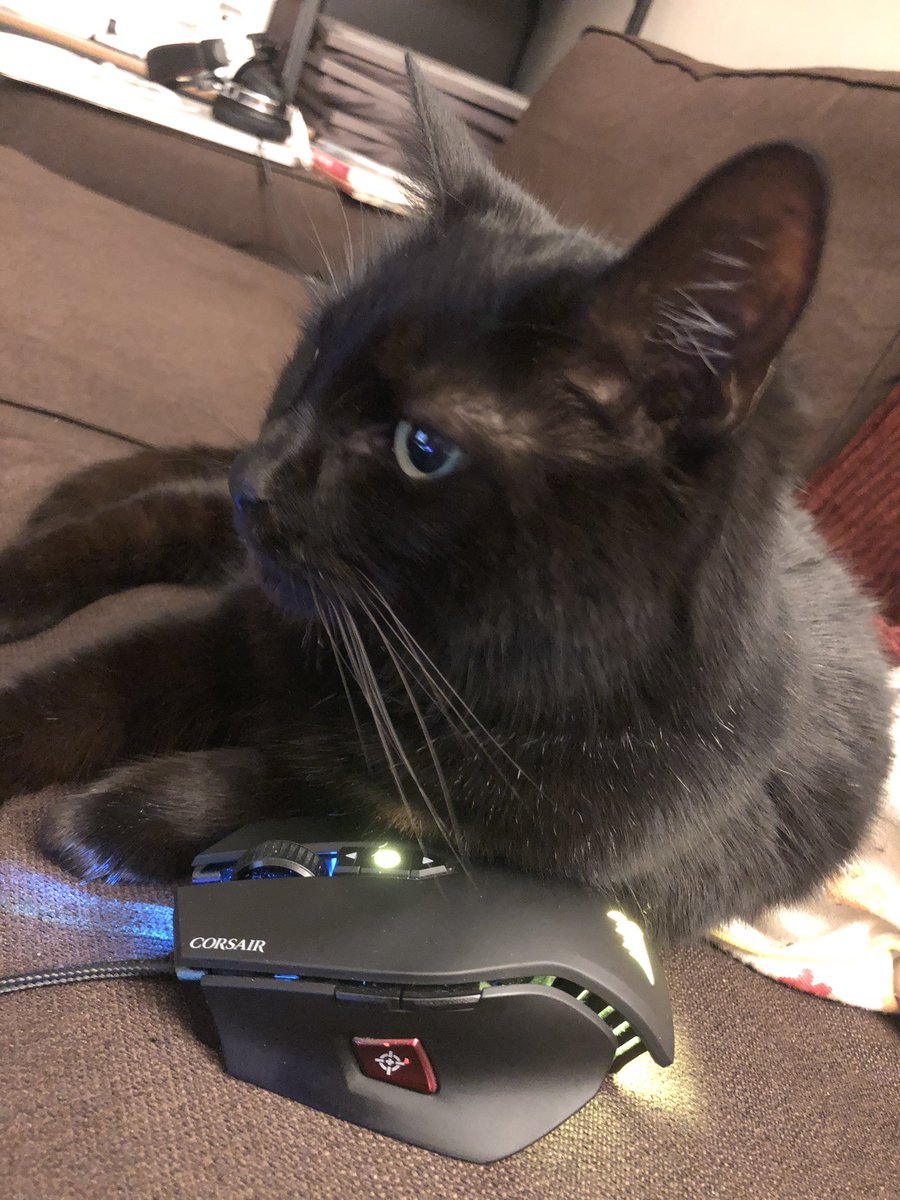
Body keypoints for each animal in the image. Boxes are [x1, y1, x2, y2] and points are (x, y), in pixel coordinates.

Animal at [0, 65, 891, 943]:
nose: (256, 477)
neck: (444, 667)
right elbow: (88, 690)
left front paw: (114, 818)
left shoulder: (536, 849)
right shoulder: (236, 630)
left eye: (420, 448)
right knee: (147, 516)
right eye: (314, 351)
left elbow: (305, 789)